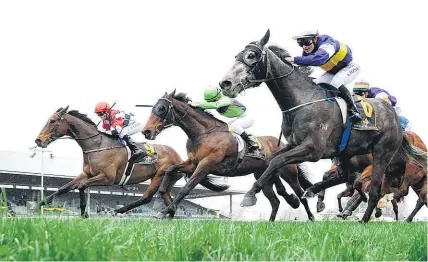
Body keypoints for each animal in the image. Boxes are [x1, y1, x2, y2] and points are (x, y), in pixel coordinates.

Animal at [34, 106, 226, 217]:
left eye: (52, 121)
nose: (38, 141)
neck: (96, 145)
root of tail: (179, 156)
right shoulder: (86, 174)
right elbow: (63, 188)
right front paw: (39, 204)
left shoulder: (108, 178)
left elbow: (81, 187)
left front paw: (84, 213)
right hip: (168, 179)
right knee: (167, 198)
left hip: (159, 175)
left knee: (147, 197)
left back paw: (118, 211)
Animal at [143, 90, 314, 221]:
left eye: (161, 108)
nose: (146, 131)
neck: (204, 134)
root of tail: (285, 144)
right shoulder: (193, 163)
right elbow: (170, 170)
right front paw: (163, 200)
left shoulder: (206, 165)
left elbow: (187, 188)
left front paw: (165, 211)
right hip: (265, 176)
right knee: (276, 200)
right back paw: (275, 217)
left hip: (289, 173)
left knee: (300, 194)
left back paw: (311, 218)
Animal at [219, 29, 426, 223]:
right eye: (237, 56)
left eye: (251, 55)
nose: (225, 83)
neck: (302, 102)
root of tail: (396, 120)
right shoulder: (293, 144)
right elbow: (271, 161)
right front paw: (287, 196)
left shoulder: (313, 149)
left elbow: (278, 161)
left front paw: (250, 195)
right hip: (346, 152)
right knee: (344, 177)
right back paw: (313, 190)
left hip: (382, 154)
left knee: (375, 190)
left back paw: (363, 219)